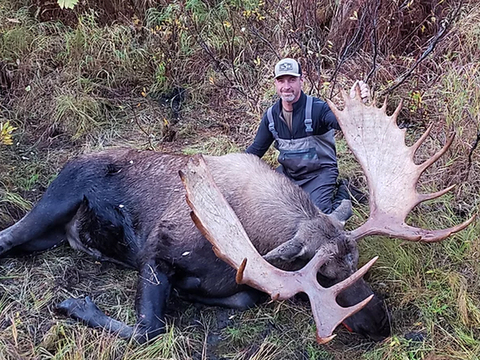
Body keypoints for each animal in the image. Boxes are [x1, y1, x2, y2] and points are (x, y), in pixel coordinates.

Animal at [0, 86, 472, 344]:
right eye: (322, 276)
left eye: (356, 263)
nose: (381, 322)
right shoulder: (155, 254)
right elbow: (149, 329)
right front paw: (73, 303)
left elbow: (243, 295)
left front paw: (196, 292)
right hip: (56, 199)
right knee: (7, 237)